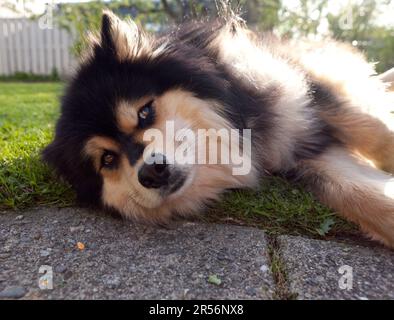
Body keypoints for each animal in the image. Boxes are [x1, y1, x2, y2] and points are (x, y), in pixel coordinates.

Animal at [43, 9, 394, 245]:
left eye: (145, 112)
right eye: (107, 159)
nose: (151, 171)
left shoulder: (296, 88)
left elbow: (371, 129)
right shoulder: (302, 159)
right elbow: (356, 195)